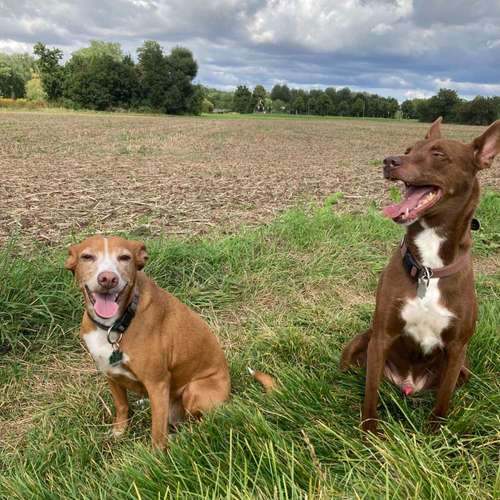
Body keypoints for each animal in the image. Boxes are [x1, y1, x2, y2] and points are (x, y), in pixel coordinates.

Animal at [65, 235, 232, 450]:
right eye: (87, 257)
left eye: (125, 257)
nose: (108, 278)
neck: (116, 325)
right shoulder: (110, 373)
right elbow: (121, 406)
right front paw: (119, 432)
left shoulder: (157, 383)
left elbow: (157, 432)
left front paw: (156, 456)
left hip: (194, 391)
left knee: (201, 424)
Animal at [340, 118, 500, 434]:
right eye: (408, 150)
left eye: (438, 154)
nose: (389, 161)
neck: (428, 267)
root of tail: (408, 386)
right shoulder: (381, 336)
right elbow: (370, 392)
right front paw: (369, 433)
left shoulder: (457, 349)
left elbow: (443, 400)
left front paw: (435, 434)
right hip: (360, 342)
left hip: (464, 370)